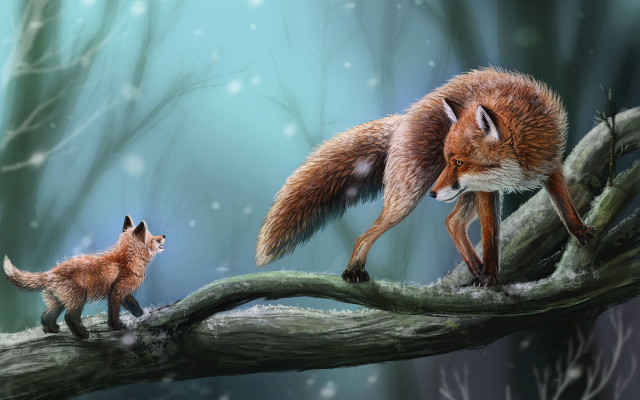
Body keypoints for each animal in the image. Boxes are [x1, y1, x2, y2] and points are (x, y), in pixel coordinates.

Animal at [3, 216, 165, 339]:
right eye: (152, 239)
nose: (163, 236)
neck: (127, 258)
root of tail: (51, 272)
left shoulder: (123, 292)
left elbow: (133, 305)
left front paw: (140, 314)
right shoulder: (116, 293)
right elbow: (113, 313)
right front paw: (117, 327)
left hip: (58, 302)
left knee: (45, 316)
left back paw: (52, 330)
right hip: (79, 298)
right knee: (69, 317)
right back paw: (82, 335)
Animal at [256, 67, 596, 287]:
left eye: (459, 161)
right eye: (448, 160)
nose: (432, 194)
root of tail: (404, 117)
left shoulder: (548, 167)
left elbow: (565, 206)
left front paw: (581, 233)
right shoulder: (487, 191)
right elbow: (490, 239)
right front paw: (489, 276)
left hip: (463, 193)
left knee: (452, 222)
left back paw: (473, 269)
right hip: (409, 198)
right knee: (368, 235)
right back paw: (354, 271)